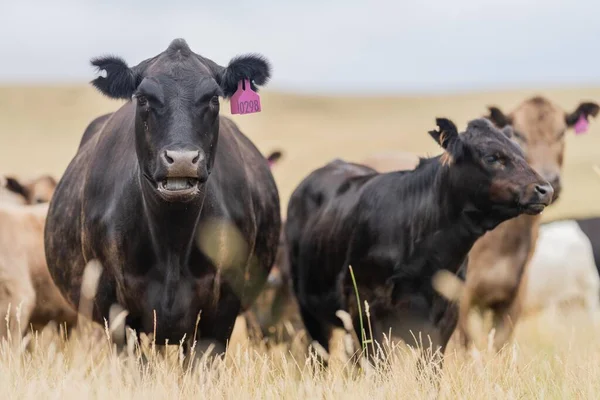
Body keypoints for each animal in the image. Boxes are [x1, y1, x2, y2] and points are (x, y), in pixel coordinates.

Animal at [44, 39, 282, 354]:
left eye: (213, 99)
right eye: (144, 99)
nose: (181, 159)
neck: (172, 243)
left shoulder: (223, 310)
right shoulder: (114, 307)